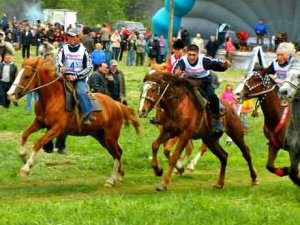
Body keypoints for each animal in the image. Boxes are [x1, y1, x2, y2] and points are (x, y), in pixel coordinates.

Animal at [6, 57, 141, 187]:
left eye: (27, 76)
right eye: (17, 73)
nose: (10, 94)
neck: (52, 97)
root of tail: (117, 104)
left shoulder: (57, 128)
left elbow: (39, 142)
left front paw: (26, 168)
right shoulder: (40, 122)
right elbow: (25, 134)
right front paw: (23, 156)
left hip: (110, 136)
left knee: (117, 153)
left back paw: (111, 180)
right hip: (101, 137)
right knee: (117, 152)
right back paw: (119, 176)